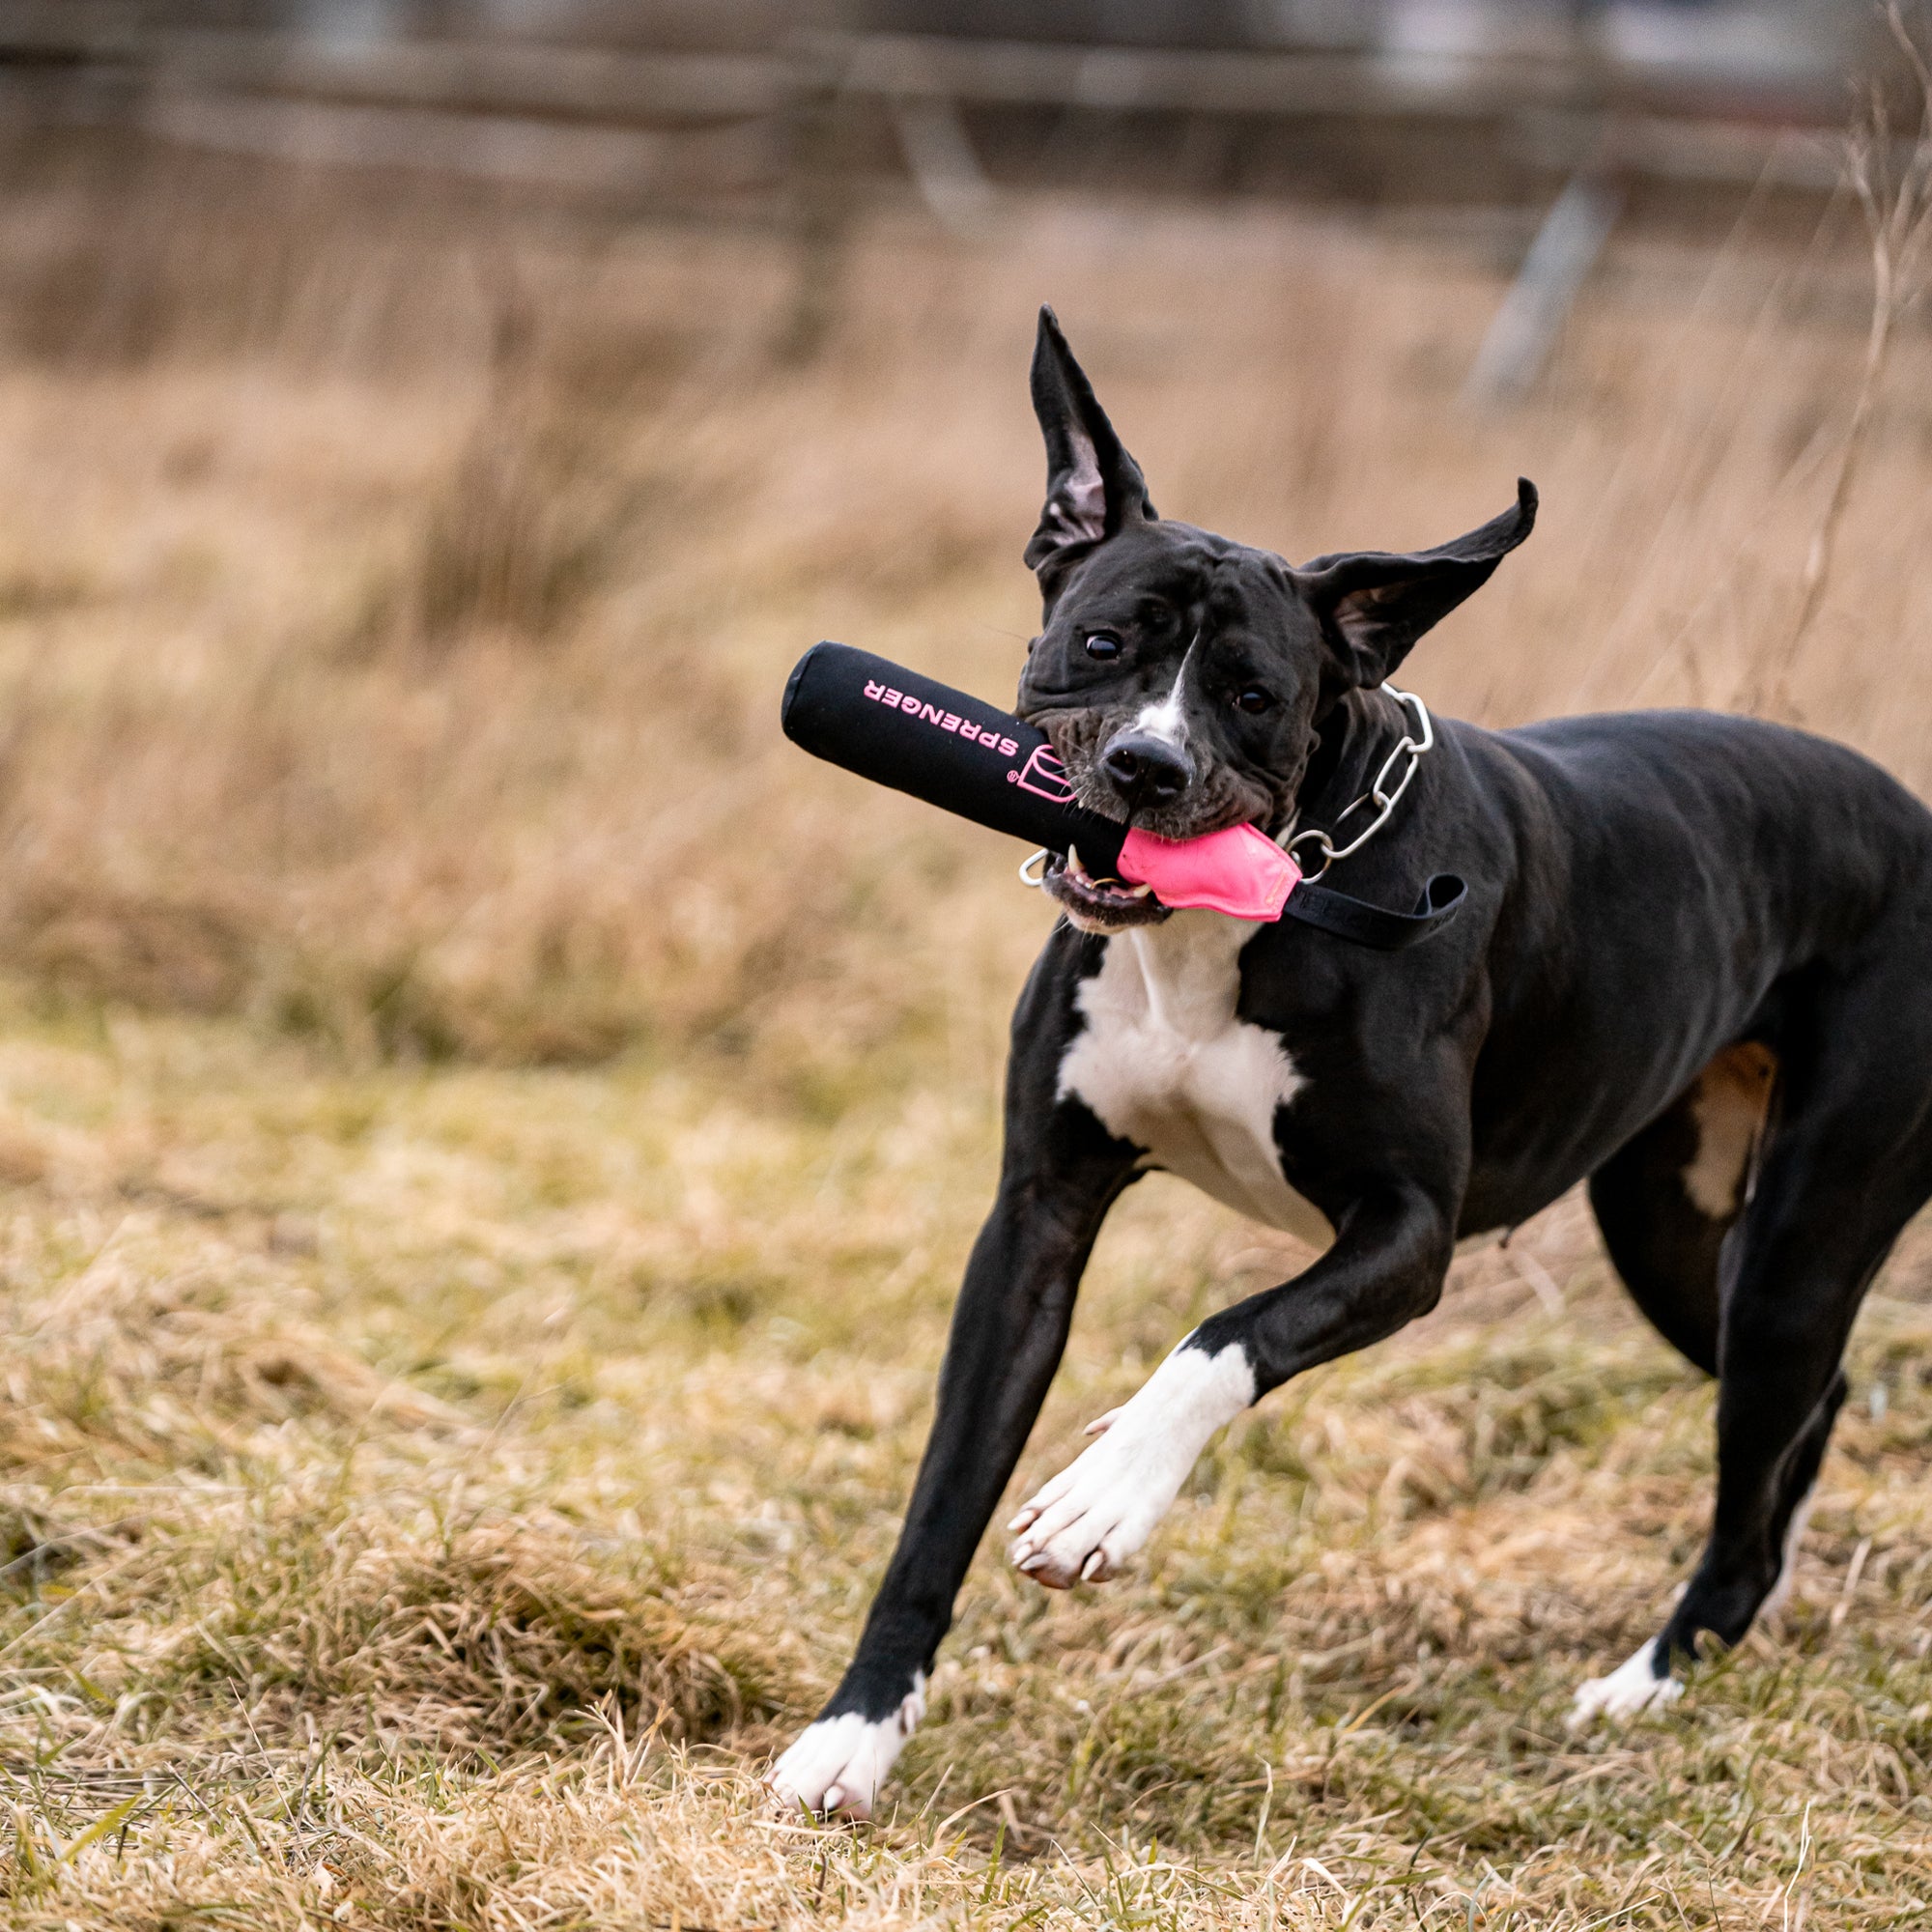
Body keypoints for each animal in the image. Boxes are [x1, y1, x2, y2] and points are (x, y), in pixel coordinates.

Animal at [765, 309, 1932, 1816]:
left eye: (1255, 696)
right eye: (1101, 640)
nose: (1145, 768)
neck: (1255, 899)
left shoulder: (1408, 1232)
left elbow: (1225, 1333)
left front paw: (1105, 1495)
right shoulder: (1035, 1219)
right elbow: (941, 1500)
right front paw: (853, 1733)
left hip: (1800, 1236)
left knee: (1770, 1417)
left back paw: (1649, 1680)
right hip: (1672, 1230)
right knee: (1803, 1403)